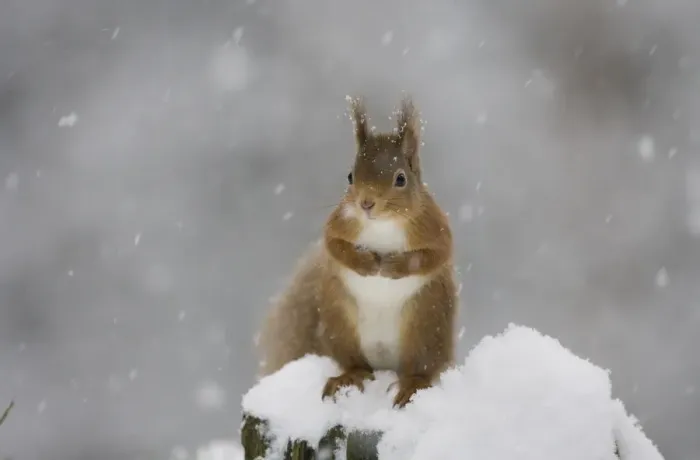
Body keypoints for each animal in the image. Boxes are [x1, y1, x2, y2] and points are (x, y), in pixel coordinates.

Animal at [256, 95, 457, 408]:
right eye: (350, 176)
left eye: (401, 179)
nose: (366, 203)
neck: (383, 224)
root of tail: (385, 365)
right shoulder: (338, 224)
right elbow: (335, 247)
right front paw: (367, 263)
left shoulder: (436, 228)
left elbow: (433, 255)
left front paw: (393, 265)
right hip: (341, 325)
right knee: (355, 364)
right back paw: (348, 377)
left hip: (426, 324)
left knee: (423, 368)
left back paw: (411, 385)